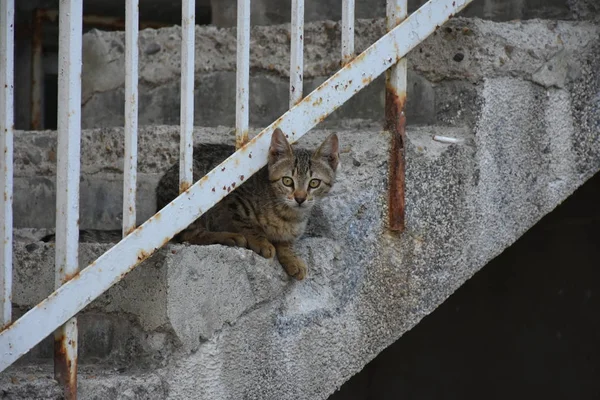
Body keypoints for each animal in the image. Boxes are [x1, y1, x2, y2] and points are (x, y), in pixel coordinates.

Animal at [157, 128, 340, 278]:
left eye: (314, 183)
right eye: (287, 181)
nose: (300, 198)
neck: (288, 214)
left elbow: (286, 243)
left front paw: (292, 258)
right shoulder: (234, 197)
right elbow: (248, 224)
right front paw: (261, 241)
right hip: (193, 203)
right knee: (191, 234)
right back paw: (229, 237)